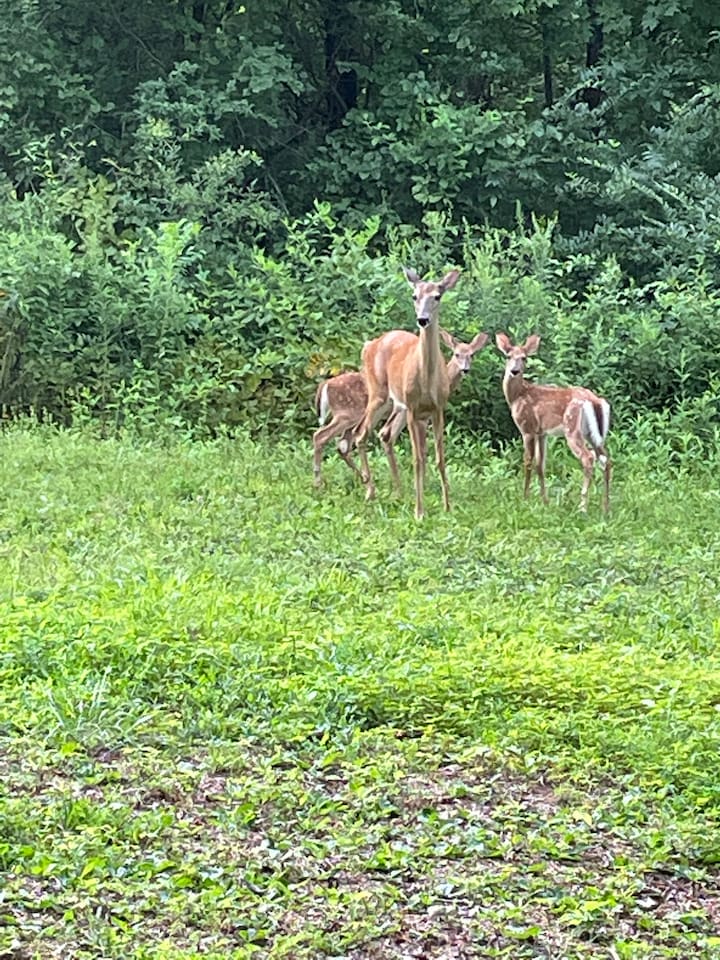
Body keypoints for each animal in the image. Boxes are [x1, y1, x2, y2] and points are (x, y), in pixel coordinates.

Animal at [312, 331, 489, 489]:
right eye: (456, 354)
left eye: (472, 355)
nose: (465, 369)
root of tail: (325, 385)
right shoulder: (409, 412)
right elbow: (419, 447)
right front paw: (424, 484)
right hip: (347, 414)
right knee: (322, 436)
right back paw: (322, 483)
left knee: (342, 444)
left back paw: (360, 480)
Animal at [353, 267, 461, 519]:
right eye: (414, 296)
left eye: (437, 296)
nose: (423, 319)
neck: (427, 378)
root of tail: (369, 344)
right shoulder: (413, 408)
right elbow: (417, 458)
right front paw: (419, 511)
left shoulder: (438, 408)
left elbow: (440, 458)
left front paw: (448, 507)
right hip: (378, 393)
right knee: (360, 433)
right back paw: (370, 491)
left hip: (396, 404)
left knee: (384, 433)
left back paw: (398, 492)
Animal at [495, 332, 611, 513]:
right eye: (508, 356)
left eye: (524, 358)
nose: (514, 371)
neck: (517, 396)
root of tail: (594, 401)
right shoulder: (542, 433)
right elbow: (540, 464)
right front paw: (545, 501)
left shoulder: (527, 428)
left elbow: (528, 461)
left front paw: (525, 498)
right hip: (595, 434)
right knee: (605, 459)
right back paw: (606, 508)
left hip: (572, 429)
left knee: (588, 458)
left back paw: (582, 507)